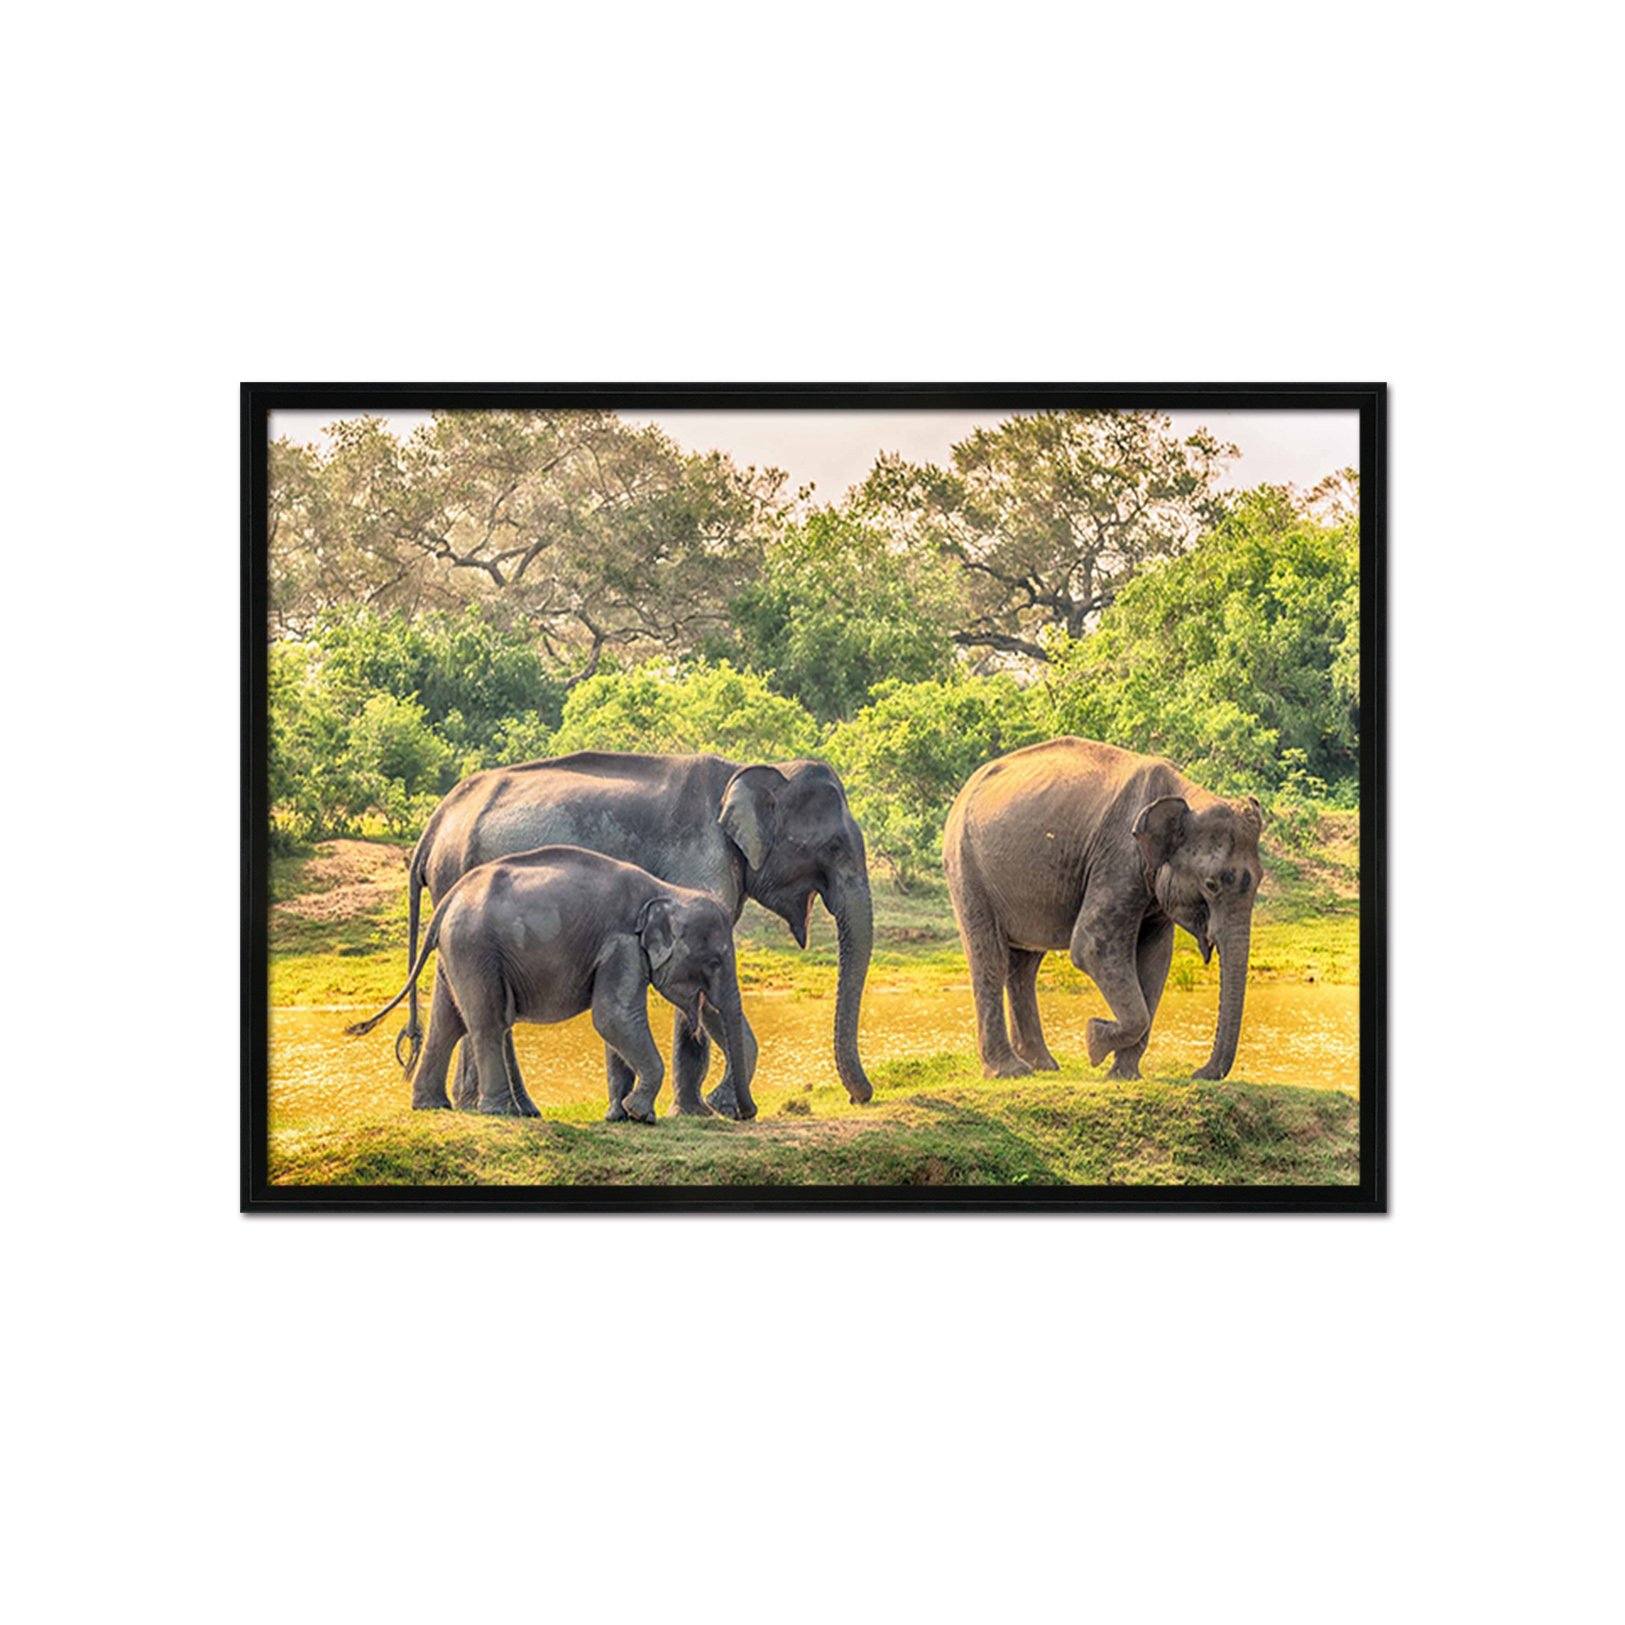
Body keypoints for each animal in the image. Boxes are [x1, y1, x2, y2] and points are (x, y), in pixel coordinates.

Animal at [346, 845, 755, 1123]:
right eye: (714, 961)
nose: (744, 1113)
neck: (665, 890)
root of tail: (447, 900)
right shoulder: (621, 944)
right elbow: (614, 1017)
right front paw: (640, 1114)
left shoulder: (619, 951)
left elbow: (615, 1025)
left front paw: (622, 1116)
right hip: (475, 948)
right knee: (488, 1022)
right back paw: (501, 1112)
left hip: (457, 951)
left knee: (449, 1023)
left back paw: (432, 1106)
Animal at [401, 752, 874, 1118]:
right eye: (833, 848)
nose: (860, 1098)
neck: (750, 769)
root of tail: (435, 824)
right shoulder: (700, 860)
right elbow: (700, 996)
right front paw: (701, 1111)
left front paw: (706, 1107)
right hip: (461, 884)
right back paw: (512, 1109)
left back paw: (470, 1105)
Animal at [943, 737, 1264, 1082]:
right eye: (1211, 884)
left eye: (1260, 879)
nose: (1198, 1073)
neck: (1186, 794)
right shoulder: (1119, 857)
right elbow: (1092, 946)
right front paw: (1094, 1040)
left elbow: (1155, 959)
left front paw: (1123, 1074)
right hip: (966, 868)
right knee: (990, 957)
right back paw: (1010, 1072)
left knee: (1024, 964)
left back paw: (1043, 1065)